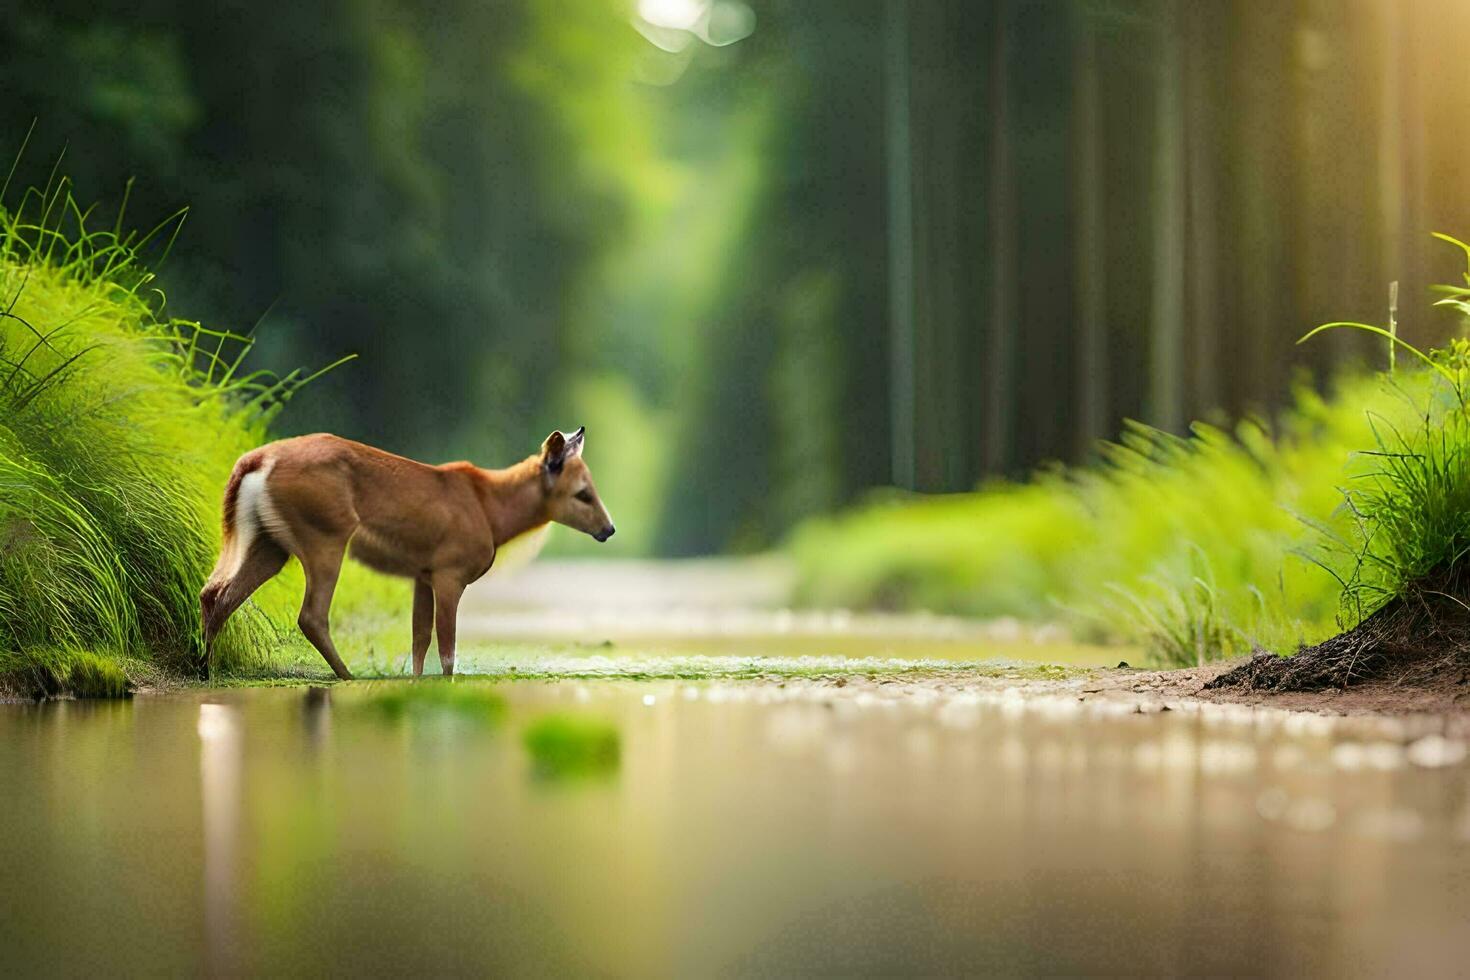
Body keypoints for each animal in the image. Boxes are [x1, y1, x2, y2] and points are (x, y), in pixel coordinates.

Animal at [198, 429, 611, 681]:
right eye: (583, 493)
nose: (609, 529)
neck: (492, 512)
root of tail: (255, 461)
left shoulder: (421, 574)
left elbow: (418, 642)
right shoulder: (449, 571)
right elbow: (447, 650)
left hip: (269, 542)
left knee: (215, 594)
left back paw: (205, 667)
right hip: (325, 534)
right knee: (311, 615)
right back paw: (348, 677)